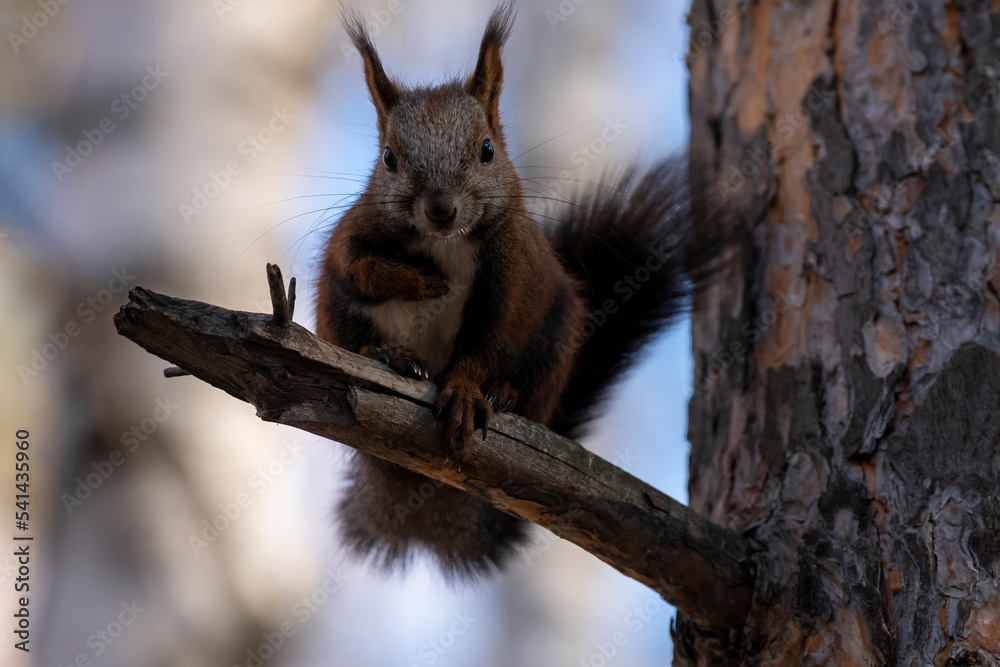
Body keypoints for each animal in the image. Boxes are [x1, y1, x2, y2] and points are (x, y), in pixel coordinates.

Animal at [314, 2, 721, 579]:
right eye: (388, 158)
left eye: (487, 149)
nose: (441, 210)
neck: (445, 244)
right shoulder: (348, 240)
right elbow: (358, 268)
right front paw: (422, 281)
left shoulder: (515, 275)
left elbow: (490, 337)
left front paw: (466, 391)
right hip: (335, 313)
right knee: (356, 335)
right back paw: (388, 355)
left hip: (556, 336)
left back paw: (504, 394)